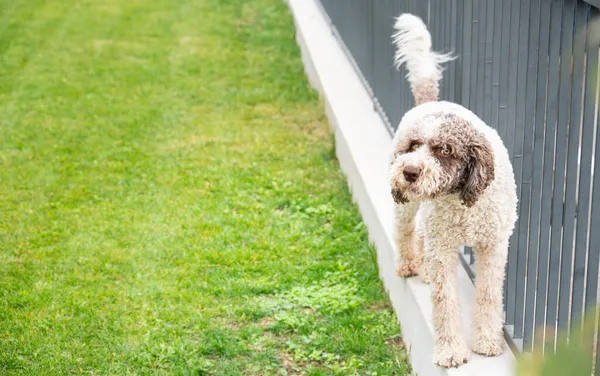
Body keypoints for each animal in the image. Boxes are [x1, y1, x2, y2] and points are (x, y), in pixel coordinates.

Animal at [386, 13, 516, 368]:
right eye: (413, 146)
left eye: (445, 150)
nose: (409, 171)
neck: (461, 200)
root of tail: (432, 101)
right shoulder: (443, 248)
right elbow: (445, 303)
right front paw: (451, 351)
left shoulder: (493, 246)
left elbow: (488, 295)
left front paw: (487, 341)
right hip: (407, 206)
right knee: (405, 230)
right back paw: (408, 264)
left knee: (420, 234)